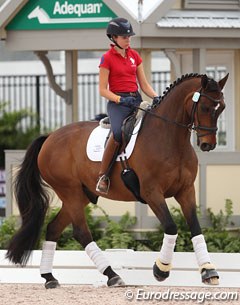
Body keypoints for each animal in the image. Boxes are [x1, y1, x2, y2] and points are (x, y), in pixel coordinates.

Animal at [6, 73, 229, 288]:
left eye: (222, 108)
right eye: (205, 107)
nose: (208, 144)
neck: (170, 139)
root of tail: (50, 137)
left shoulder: (186, 190)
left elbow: (196, 229)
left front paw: (208, 271)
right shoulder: (152, 193)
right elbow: (171, 227)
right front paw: (161, 269)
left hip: (80, 195)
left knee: (53, 228)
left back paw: (49, 277)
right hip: (70, 192)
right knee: (81, 232)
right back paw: (112, 275)